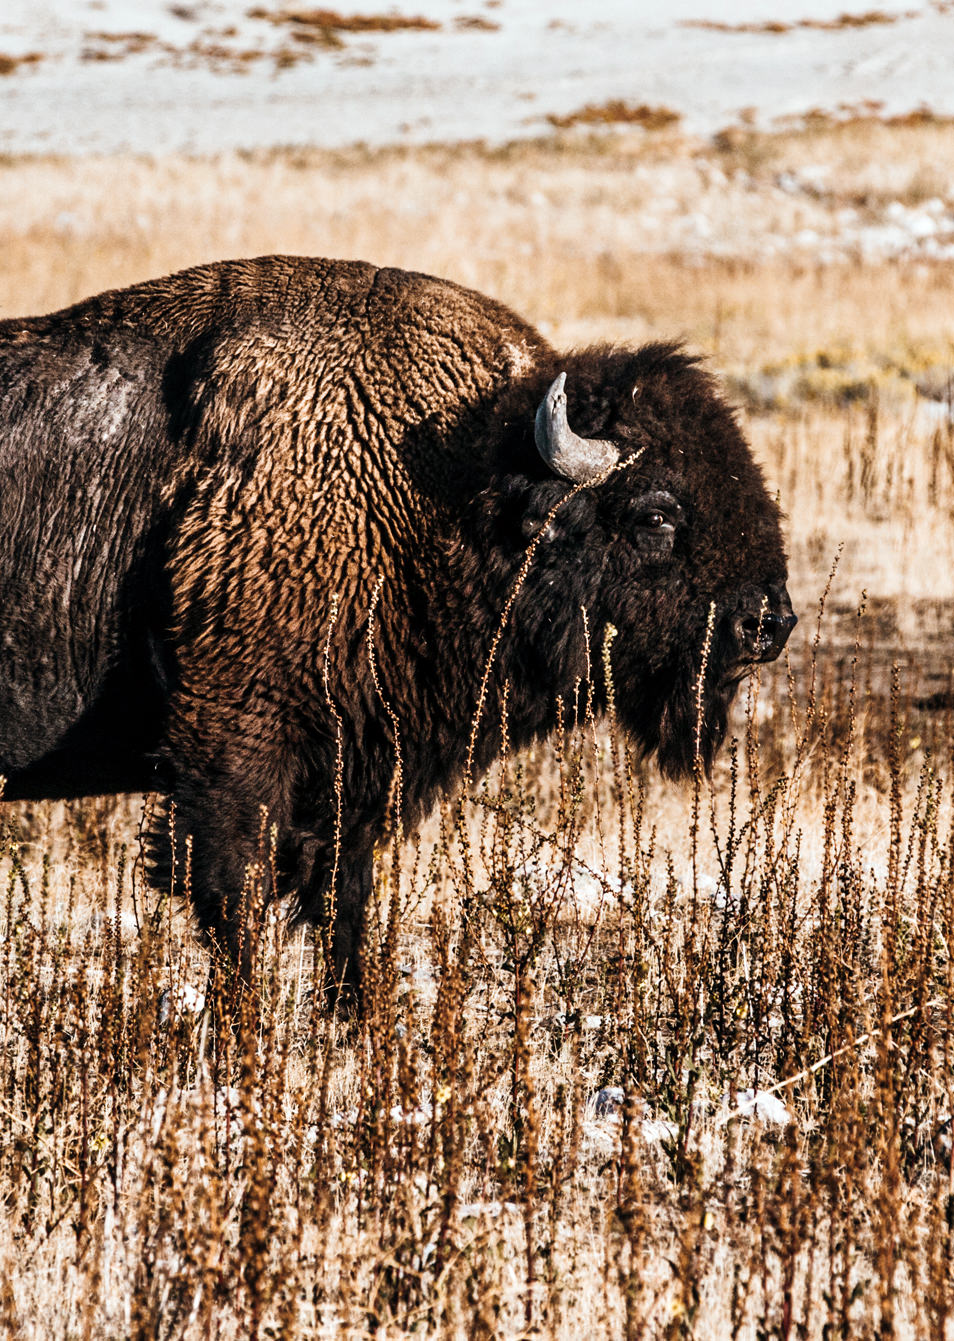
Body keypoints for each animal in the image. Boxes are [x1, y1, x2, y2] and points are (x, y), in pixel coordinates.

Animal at [0, 256, 794, 1003]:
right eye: (656, 514)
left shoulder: (360, 775)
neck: (441, 490)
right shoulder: (233, 754)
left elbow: (342, 901)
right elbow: (237, 901)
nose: (769, 622)